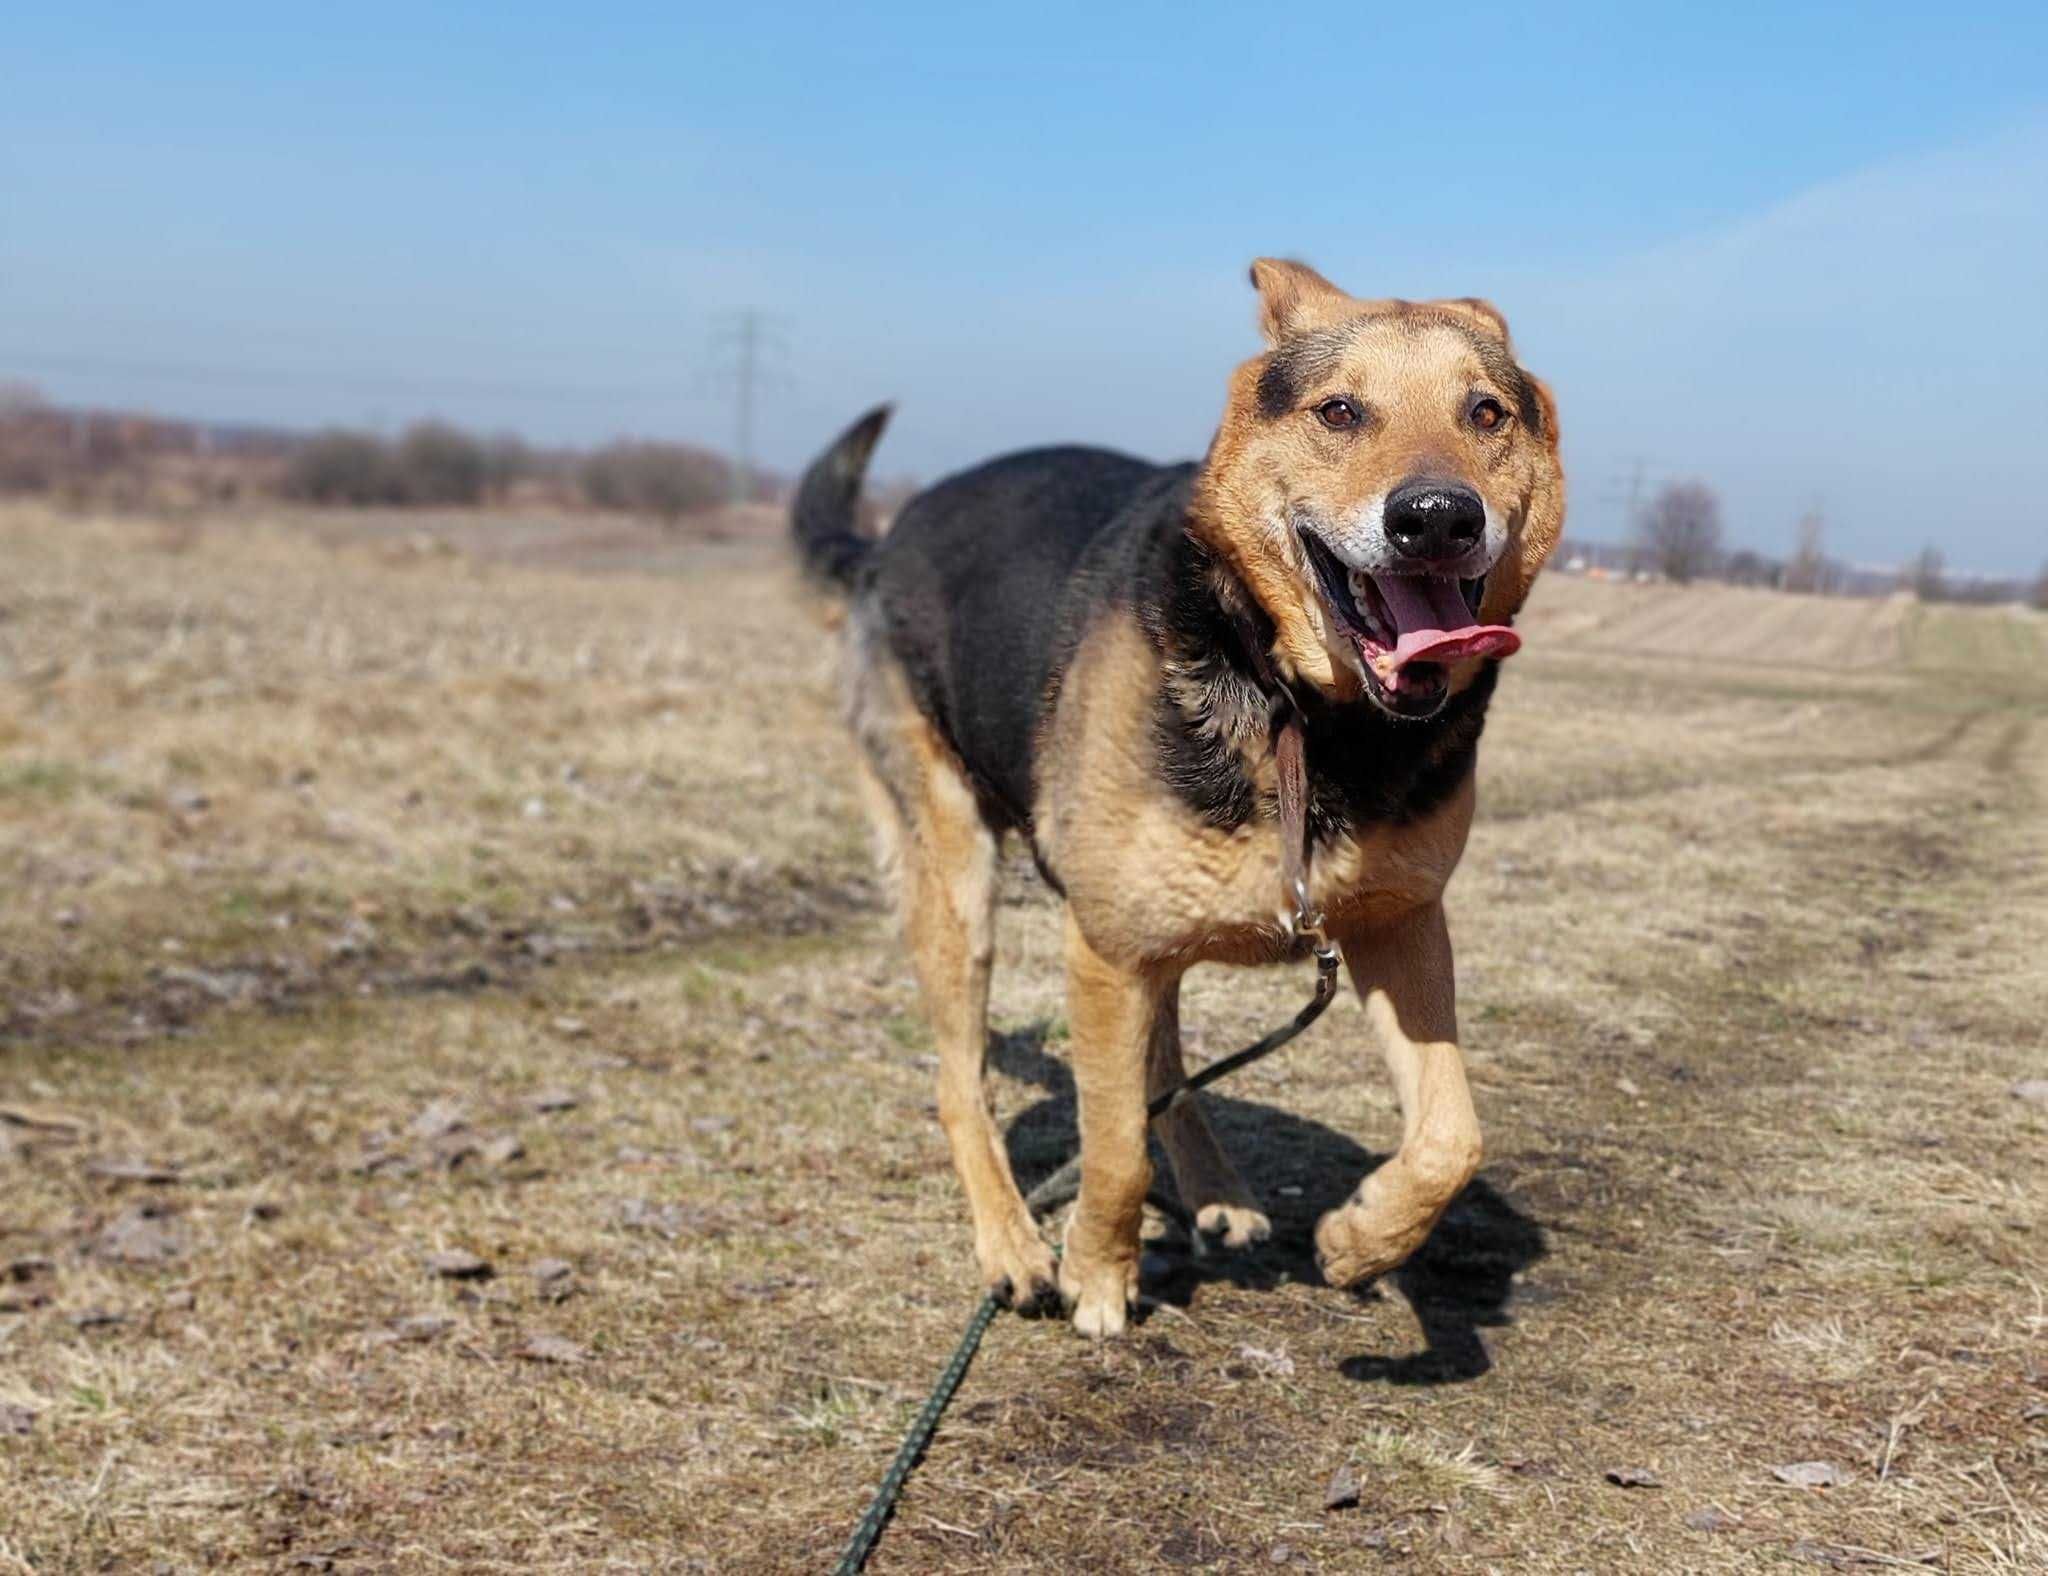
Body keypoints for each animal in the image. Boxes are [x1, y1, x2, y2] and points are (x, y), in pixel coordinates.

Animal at [790, 254, 1556, 1326]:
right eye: (1339, 412)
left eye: (1487, 413)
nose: (1437, 519)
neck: (1308, 715)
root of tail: (883, 541)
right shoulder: (1108, 951)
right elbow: (1113, 1149)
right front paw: (1099, 1277)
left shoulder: (1398, 924)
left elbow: (1453, 1135)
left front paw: (1364, 1239)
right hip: (962, 882)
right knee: (962, 1081)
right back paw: (1014, 1245)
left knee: (1165, 1055)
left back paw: (1220, 1191)